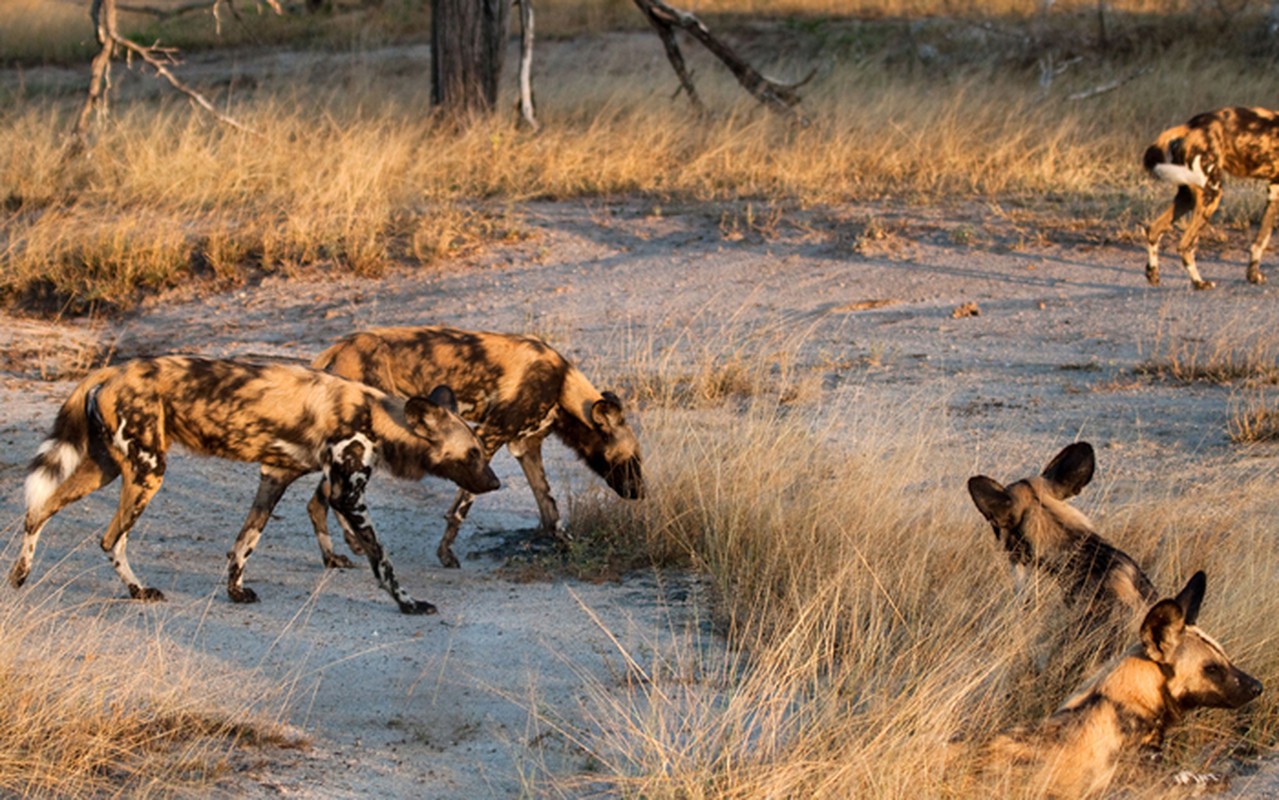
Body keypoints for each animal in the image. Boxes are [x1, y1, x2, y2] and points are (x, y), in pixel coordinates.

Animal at [9, 355, 498, 611]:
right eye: (473, 454)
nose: (495, 484)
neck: (377, 415)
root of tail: (112, 370)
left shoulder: (274, 477)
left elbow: (245, 542)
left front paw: (234, 590)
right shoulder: (347, 496)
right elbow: (383, 561)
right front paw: (408, 603)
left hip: (106, 468)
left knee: (38, 510)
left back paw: (21, 574)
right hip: (148, 474)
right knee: (111, 538)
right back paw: (138, 589)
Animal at [303, 325, 644, 568]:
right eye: (632, 460)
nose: (640, 493)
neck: (562, 385)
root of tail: (337, 348)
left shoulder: (526, 447)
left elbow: (549, 508)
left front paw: (568, 545)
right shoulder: (489, 437)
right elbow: (461, 508)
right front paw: (445, 553)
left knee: (318, 500)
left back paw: (335, 556)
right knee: (329, 497)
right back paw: (348, 545)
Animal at [982, 570, 1263, 793]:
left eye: (1226, 658)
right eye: (1211, 668)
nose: (1257, 687)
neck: (1132, 699)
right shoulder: (1149, 777)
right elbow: (1202, 778)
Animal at [1145, 106, 1279, 290]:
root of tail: (1190, 125)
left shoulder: (1274, 191)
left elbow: (1261, 241)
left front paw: (1253, 275)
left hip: (1188, 195)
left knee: (1154, 230)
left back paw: (1153, 274)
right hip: (1212, 193)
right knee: (1185, 245)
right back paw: (1199, 283)